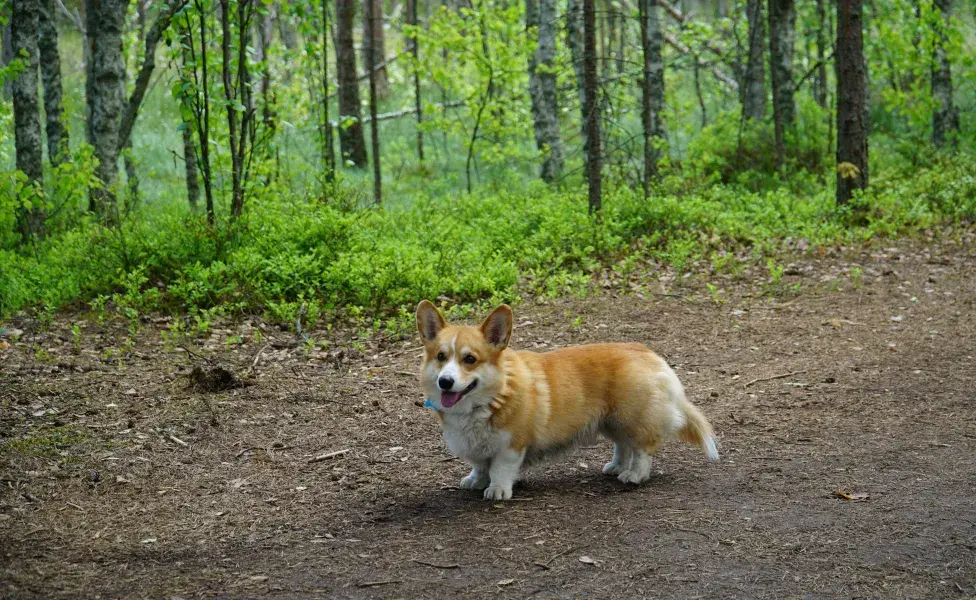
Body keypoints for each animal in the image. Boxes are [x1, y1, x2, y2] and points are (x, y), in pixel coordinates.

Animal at [416, 300, 720, 502]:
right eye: (441, 357)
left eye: (470, 359)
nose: (445, 382)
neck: (492, 396)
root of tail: (647, 353)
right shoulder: (477, 446)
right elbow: (480, 465)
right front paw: (475, 481)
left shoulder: (512, 445)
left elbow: (501, 468)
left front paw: (497, 490)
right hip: (611, 421)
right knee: (623, 445)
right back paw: (616, 467)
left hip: (632, 418)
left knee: (642, 449)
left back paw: (634, 475)